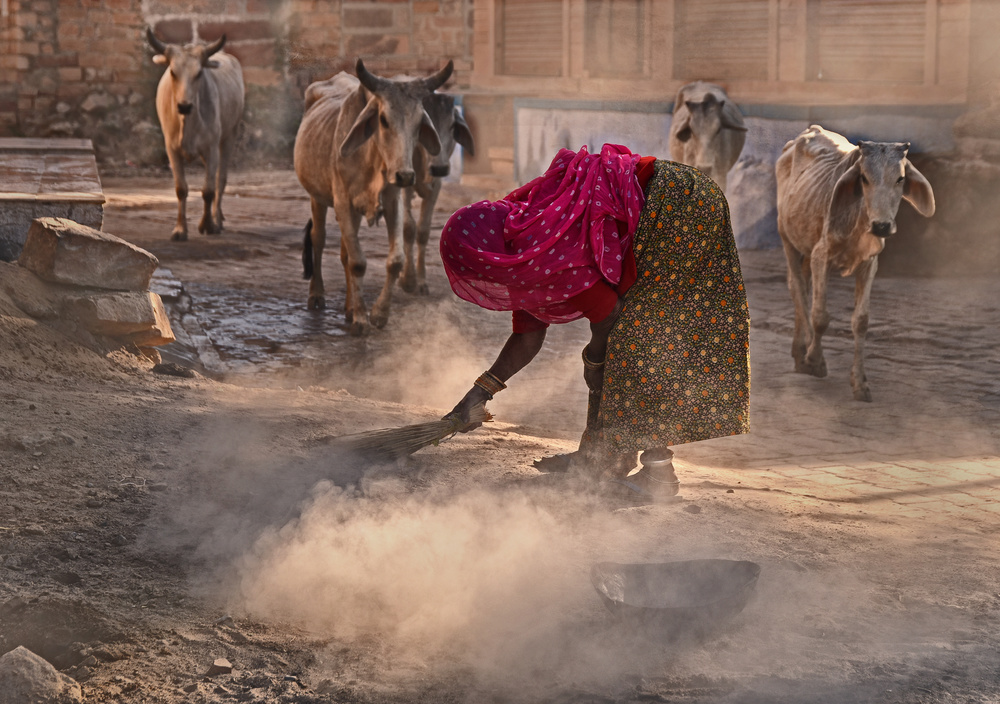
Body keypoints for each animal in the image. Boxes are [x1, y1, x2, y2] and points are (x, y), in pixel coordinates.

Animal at [145, 28, 244, 242]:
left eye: (199, 73)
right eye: (173, 72)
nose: (184, 105)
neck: (188, 123)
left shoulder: (212, 147)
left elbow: (208, 190)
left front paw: (207, 225)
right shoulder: (171, 149)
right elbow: (181, 189)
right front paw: (180, 229)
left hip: (229, 136)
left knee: (220, 179)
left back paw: (217, 218)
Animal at [294, 57, 452, 332]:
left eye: (419, 123)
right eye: (383, 119)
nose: (405, 176)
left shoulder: (392, 202)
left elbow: (394, 260)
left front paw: (377, 314)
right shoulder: (343, 203)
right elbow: (358, 262)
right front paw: (360, 319)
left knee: (345, 253)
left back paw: (348, 306)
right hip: (317, 198)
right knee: (319, 239)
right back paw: (317, 294)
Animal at [400, 91, 474, 294]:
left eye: (452, 126)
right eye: (425, 127)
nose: (439, 167)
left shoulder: (436, 187)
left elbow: (423, 230)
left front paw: (421, 281)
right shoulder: (405, 184)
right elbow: (408, 228)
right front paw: (408, 279)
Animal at [772, 125, 936, 402]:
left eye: (900, 179)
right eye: (864, 178)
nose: (881, 226)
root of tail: (809, 131)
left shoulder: (869, 264)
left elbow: (861, 321)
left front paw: (860, 383)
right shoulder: (821, 256)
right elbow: (820, 316)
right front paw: (815, 360)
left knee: (802, 288)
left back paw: (798, 352)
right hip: (788, 239)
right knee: (798, 290)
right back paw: (804, 353)